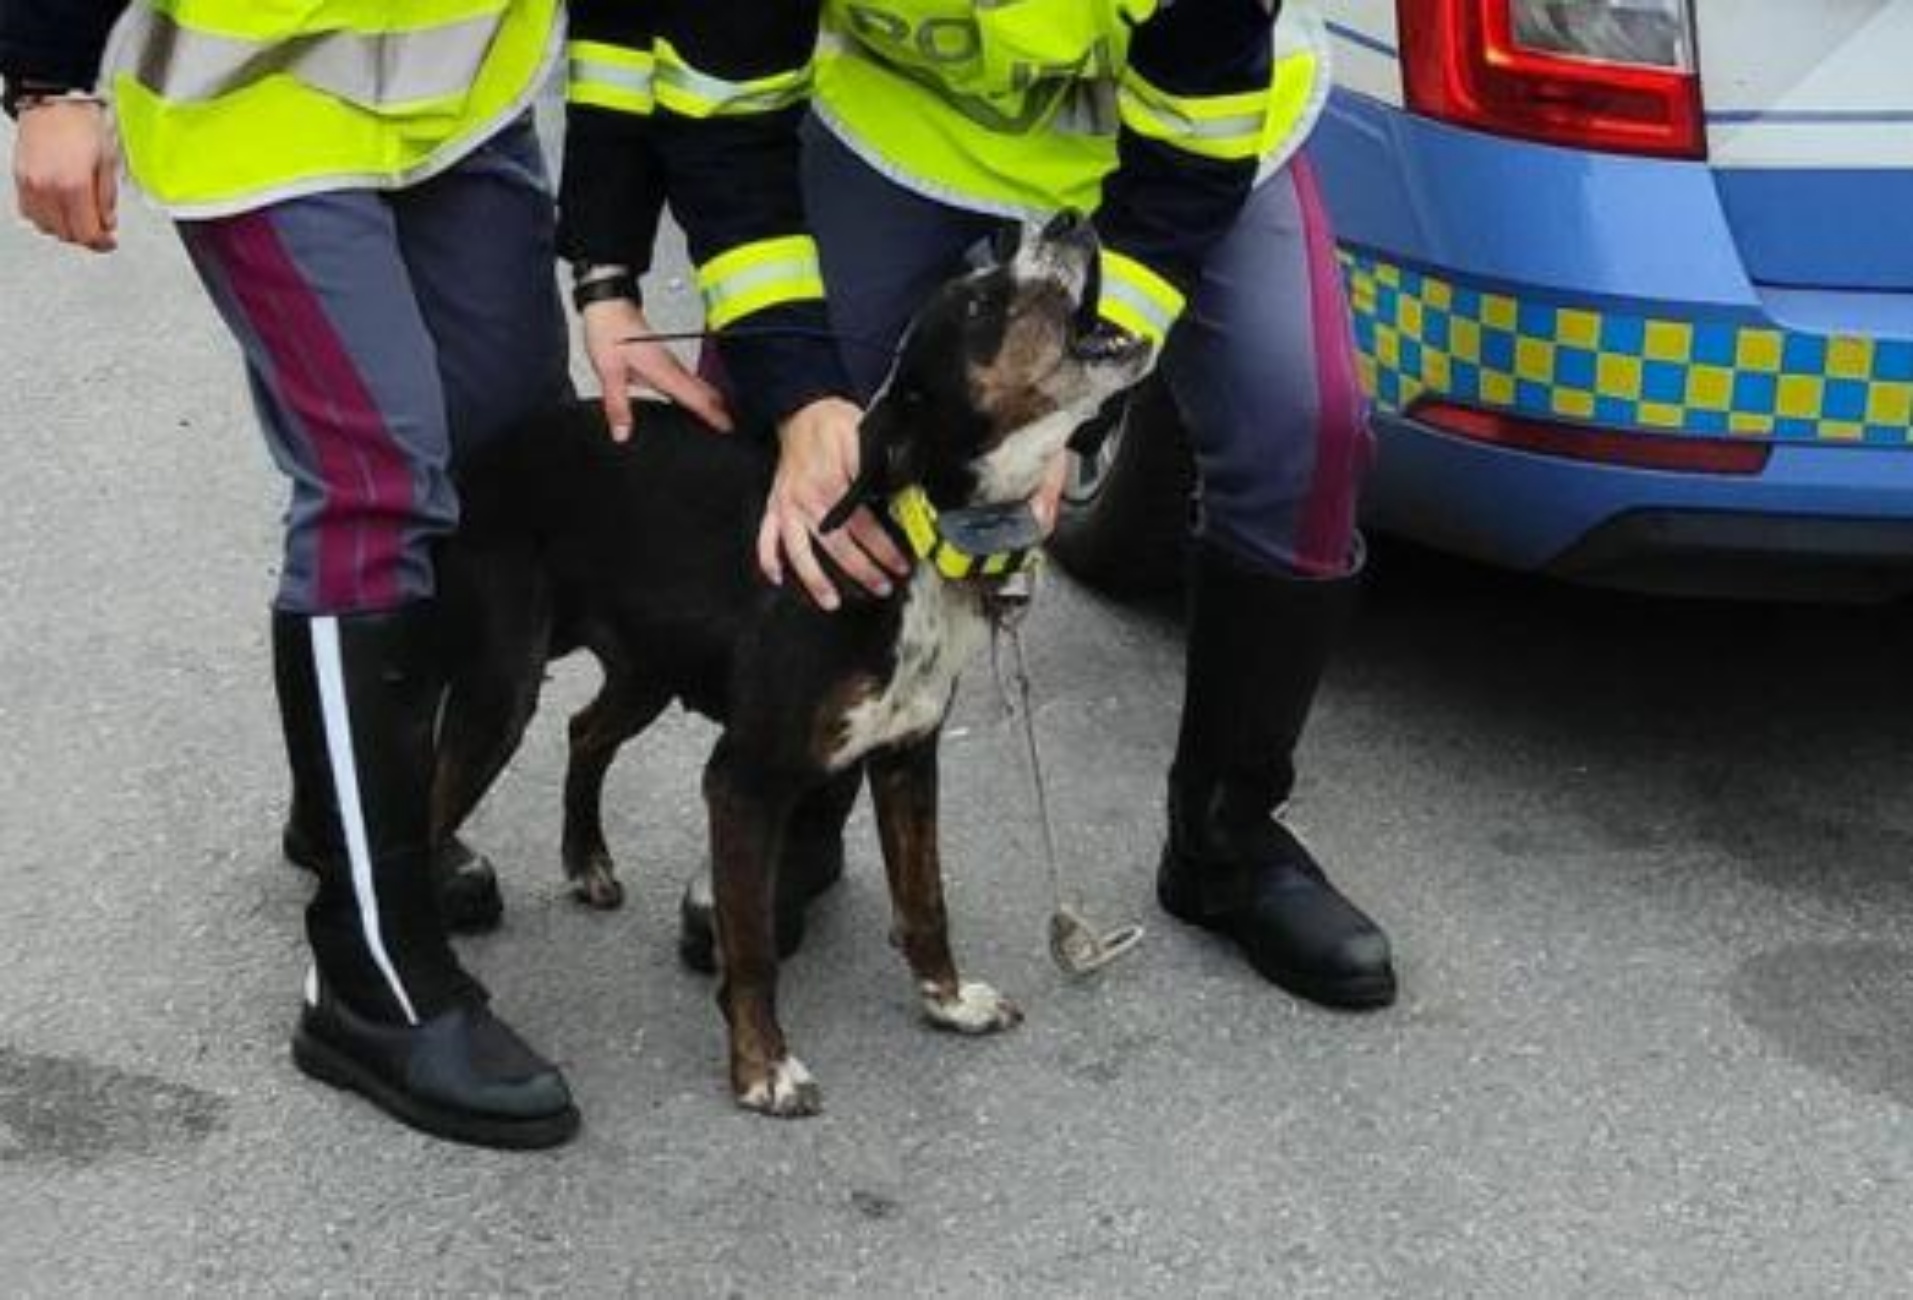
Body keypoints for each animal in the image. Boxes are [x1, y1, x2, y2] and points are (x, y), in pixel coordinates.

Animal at [432, 216, 1140, 1116]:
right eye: (982, 301)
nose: (1071, 222)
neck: (915, 534)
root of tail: (492, 448)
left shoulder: (905, 757)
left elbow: (925, 898)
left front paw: (948, 1001)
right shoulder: (742, 781)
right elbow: (752, 950)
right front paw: (763, 1068)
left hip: (647, 667)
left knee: (585, 729)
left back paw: (586, 861)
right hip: (503, 687)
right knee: (431, 805)